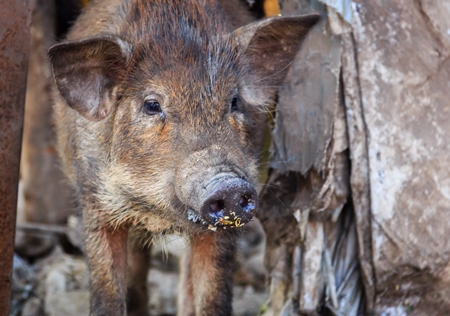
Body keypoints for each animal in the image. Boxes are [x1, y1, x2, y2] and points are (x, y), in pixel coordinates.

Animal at [48, 1, 316, 314]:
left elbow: (213, 295)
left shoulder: (221, 229)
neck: (157, 214)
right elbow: (107, 292)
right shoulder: (94, 201)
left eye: (234, 101)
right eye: (152, 105)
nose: (228, 184)